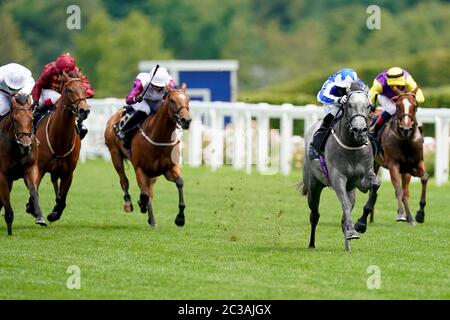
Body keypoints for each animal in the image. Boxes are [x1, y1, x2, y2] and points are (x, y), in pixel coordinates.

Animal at [0, 92, 46, 235]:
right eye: (15, 119)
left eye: (31, 119)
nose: (26, 146)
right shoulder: (3, 175)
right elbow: (6, 201)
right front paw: (9, 228)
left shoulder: (30, 169)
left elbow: (34, 192)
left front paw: (40, 217)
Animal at [25, 72, 91, 222]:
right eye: (69, 90)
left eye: (85, 90)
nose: (84, 110)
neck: (60, 140)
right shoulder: (40, 168)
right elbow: (34, 190)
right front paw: (32, 207)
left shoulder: (68, 173)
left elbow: (62, 199)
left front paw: (54, 213)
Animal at [105, 84, 192, 226]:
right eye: (172, 100)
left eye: (188, 100)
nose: (186, 120)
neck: (158, 137)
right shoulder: (140, 169)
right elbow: (144, 194)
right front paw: (141, 204)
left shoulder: (169, 168)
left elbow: (179, 183)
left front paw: (180, 218)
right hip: (115, 154)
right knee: (124, 181)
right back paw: (129, 203)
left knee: (149, 190)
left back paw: (152, 220)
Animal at [298, 83, 380, 252]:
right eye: (349, 105)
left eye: (368, 106)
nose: (359, 130)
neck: (352, 146)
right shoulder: (338, 178)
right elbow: (345, 205)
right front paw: (353, 230)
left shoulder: (363, 178)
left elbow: (375, 185)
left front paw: (360, 225)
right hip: (314, 186)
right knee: (314, 215)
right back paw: (312, 244)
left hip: (351, 190)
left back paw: (348, 245)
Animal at [372, 86, 428, 224]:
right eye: (397, 105)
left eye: (415, 105)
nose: (406, 129)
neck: (405, 141)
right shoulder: (393, 164)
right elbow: (398, 188)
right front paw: (400, 213)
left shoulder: (415, 163)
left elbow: (424, 178)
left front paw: (420, 214)